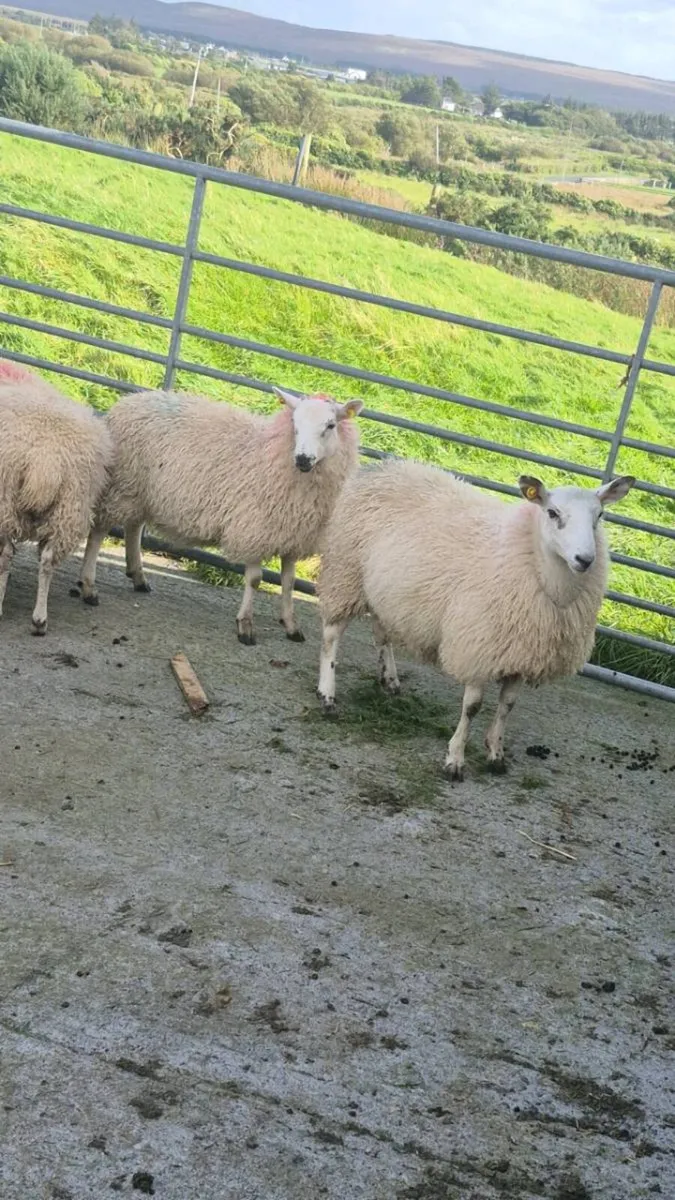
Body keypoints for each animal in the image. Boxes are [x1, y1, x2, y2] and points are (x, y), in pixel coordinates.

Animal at [0, 361, 113, 635]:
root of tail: (45, 459)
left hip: (6, 498)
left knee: (7, 555)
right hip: (70, 505)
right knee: (47, 560)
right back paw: (39, 619)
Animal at [78, 386, 363, 644]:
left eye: (331, 425)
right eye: (295, 423)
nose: (303, 459)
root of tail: (127, 401)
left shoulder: (292, 534)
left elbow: (289, 582)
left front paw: (292, 626)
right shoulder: (253, 529)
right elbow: (255, 580)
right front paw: (245, 626)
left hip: (141, 492)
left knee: (134, 527)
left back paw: (137, 576)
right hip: (123, 484)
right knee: (99, 531)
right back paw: (89, 587)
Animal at [316, 460, 635, 779]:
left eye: (600, 516)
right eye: (553, 512)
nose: (585, 559)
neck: (532, 561)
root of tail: (382, 466)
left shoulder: (522, 652)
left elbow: (507, 705)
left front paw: (496, 753)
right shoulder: (478, 647)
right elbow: (472, 707)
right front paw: (455, 759)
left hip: (384, 590)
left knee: (381, 631)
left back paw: (390, 679)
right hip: (346, 572)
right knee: (332, 635)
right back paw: (327, 695)